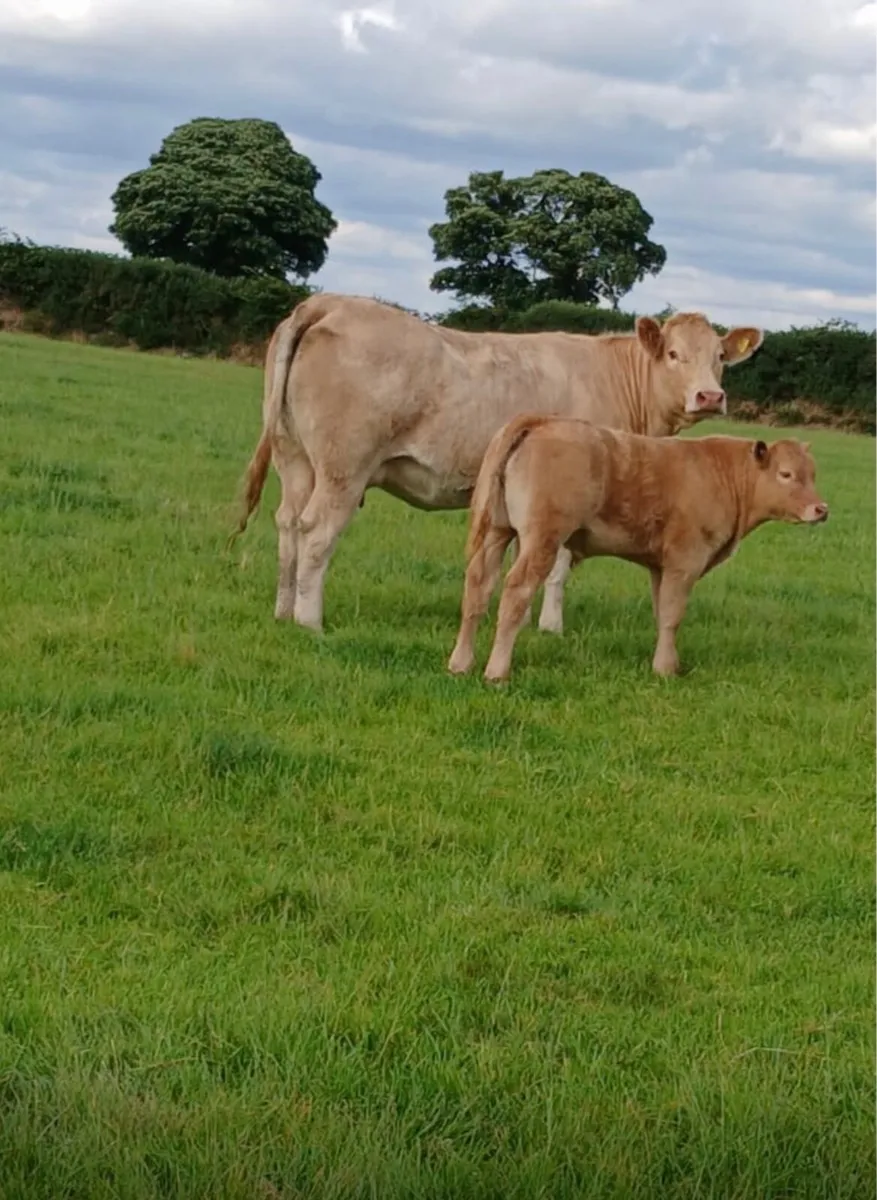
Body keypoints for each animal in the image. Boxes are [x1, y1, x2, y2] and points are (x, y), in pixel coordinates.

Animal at [234, 293, 764, 634]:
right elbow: (559, 567)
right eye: (673, 354)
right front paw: (549, 628)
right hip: (344, 469)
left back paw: (283, 611)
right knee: (316, 534)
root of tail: (330, 301)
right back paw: (310, 621)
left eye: (719, 357)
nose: (709, 396)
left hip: (295, 459)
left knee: (287, 526)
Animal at [448, 415, 828, 682]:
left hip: (497, 531)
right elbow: (673, 615)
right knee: (516, 591)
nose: (821, 509)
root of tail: (542, 420)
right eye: (785, 474)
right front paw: (665, 670)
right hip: (543, 538)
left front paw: (668, 663)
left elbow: (661, 613)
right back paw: (497, 671)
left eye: (812, 474)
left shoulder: (660, 566)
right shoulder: (685, 561)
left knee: (478, 588)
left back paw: (461, 663)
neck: (723, 475)